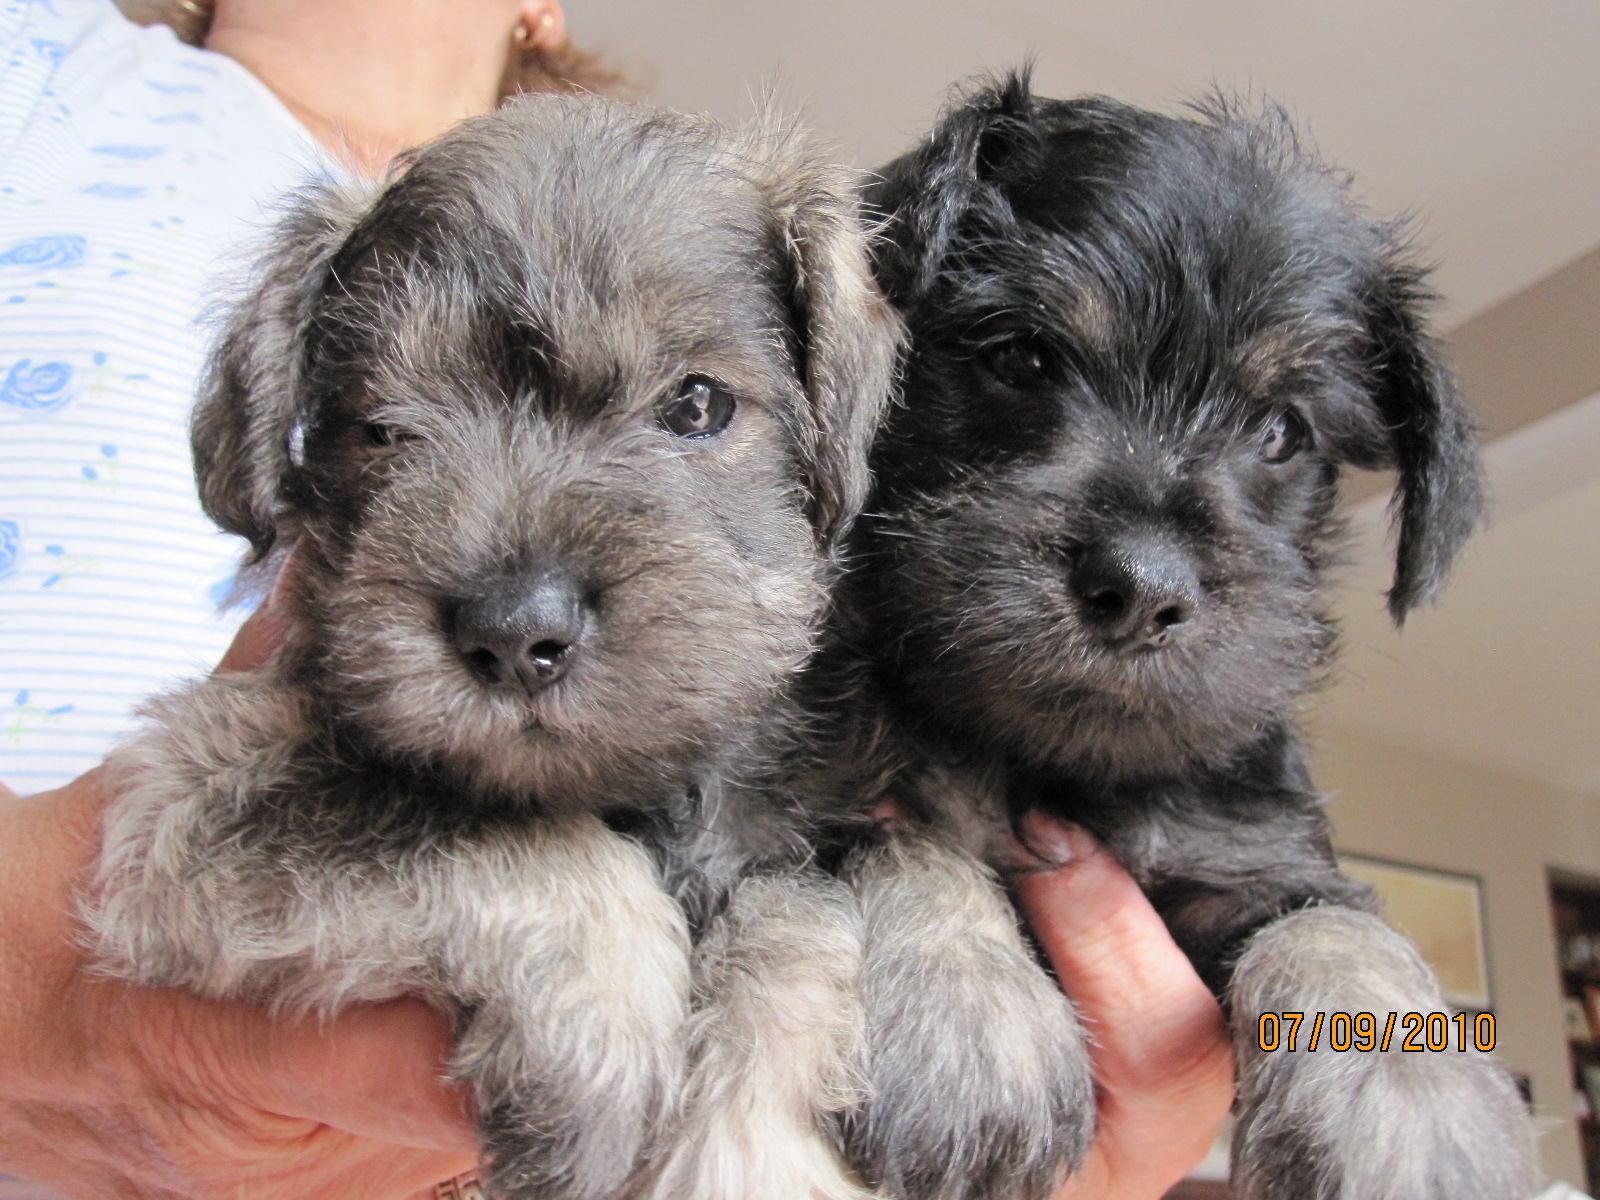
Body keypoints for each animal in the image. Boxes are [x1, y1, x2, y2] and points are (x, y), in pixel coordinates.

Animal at [84, 91, 902, 1200]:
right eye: (381, 430)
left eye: (697, 404)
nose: (514, 633)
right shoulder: (188, 797)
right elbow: (514, 840)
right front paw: (604, 1039)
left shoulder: (790, 845)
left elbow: (793, 939)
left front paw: (747, 1151)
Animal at [812, 75, 1536, 1200]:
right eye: (1019, 355)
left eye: (1282, 432)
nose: (1142, 590)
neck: (1061, 771)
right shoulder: (836, 795)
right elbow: (914, 849)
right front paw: (972, 1034)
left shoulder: (1259, 863)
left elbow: (1344, 938)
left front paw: (1412, 1121)